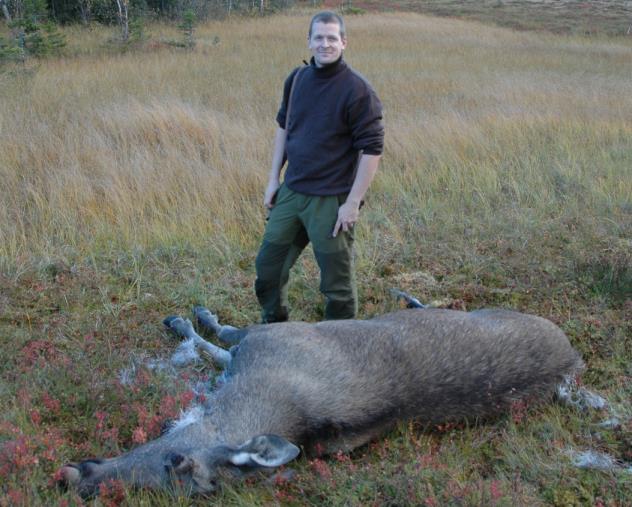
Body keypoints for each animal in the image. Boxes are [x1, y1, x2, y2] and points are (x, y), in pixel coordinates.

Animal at [59, 300, 584, 498]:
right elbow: (216, 348)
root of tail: (572, 360)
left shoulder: (264, 336)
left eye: (177, 465)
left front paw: (190, 318)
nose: (80, 477)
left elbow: (218, 336)